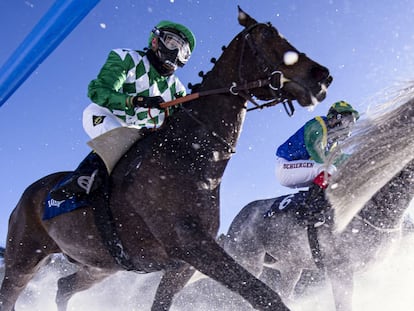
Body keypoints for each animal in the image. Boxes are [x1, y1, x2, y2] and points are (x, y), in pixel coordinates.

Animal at [0, 7, 332, 311]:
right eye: (265, 35)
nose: (323, 77)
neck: (189, 157)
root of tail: (29, 194)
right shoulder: (191, 245)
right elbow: (264, 294)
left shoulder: (182, 264)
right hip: (23, 258)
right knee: (12, 294)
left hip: (98, 265)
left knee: (63, 286)